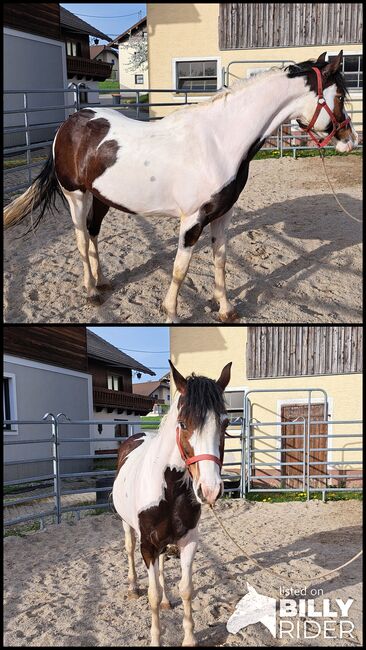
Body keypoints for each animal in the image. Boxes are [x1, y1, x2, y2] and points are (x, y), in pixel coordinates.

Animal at [2, 50, 358, 322]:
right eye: (340, 95)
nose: (350, 140)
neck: (220, 141)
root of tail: (70, 122)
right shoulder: (192, 221)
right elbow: (179, 269)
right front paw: (171, 312)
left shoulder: (222, 215)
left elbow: (220, 261)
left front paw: (226, 310)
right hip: (75, 196)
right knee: (79, 239)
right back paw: (91, 291)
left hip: (101, 198)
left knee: (92, 234)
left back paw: (103, 282)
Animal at [112, 360, 232, 644]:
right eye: (183, 424)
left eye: (225, 423)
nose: (210, 490)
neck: (168, 489)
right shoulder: (147, 546)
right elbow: (152, 595)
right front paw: (156, 639)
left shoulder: (188, 541)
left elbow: (186, 588)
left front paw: (189, 638)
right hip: (127, 526)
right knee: (129, 551)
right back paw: (133, 587)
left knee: (163, 570)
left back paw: (167, 600)